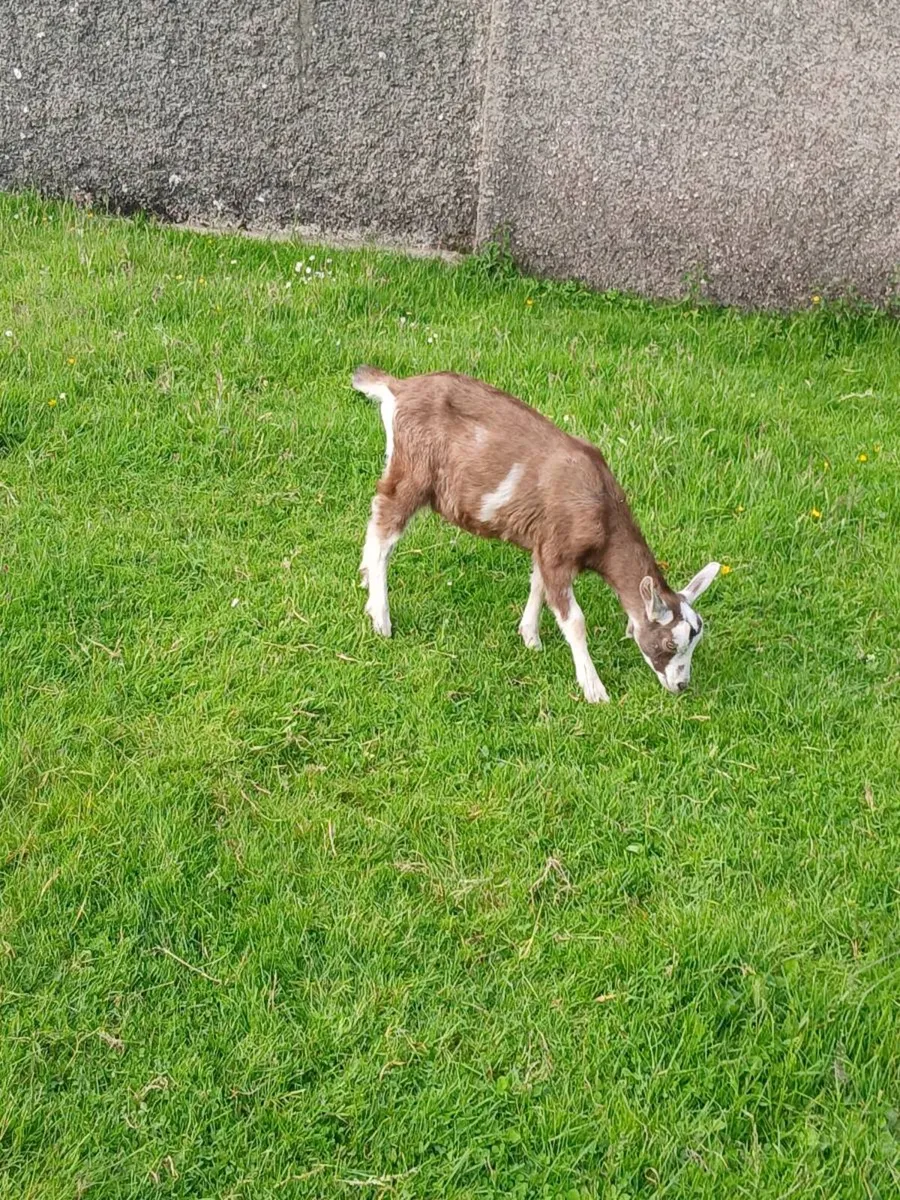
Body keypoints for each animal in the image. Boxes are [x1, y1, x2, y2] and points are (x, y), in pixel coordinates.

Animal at [353, 366, 720, 701]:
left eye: (695, 640)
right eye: (670, 642)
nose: (681, 685)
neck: (603, 512)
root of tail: (399, 387)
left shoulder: (546, 544)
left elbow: (538, 585)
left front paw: (530, 636)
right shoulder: (559, 550)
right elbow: (575, 620)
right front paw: (593, 688)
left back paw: (367, 585)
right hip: (414, 472)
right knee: (384, 528)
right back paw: (380, 617)